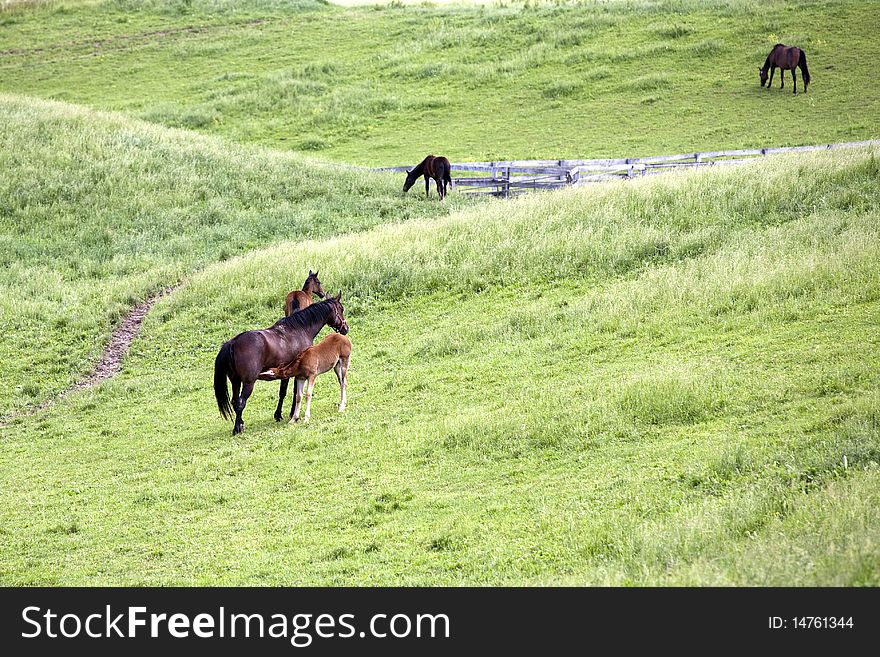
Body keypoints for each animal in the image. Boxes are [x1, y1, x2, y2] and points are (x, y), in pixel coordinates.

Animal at [215, 294, 348, 434]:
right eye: (341, 309)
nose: (345, 328)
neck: (299, 329)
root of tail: (233, 343)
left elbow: (283, 393)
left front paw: (279, 415)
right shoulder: (297, 374)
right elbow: (294, 393)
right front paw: (292, 414)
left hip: (235, 382)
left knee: (235, 402)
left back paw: (240, 424)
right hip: (248, 383)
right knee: (241, 403)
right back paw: (237, 428)